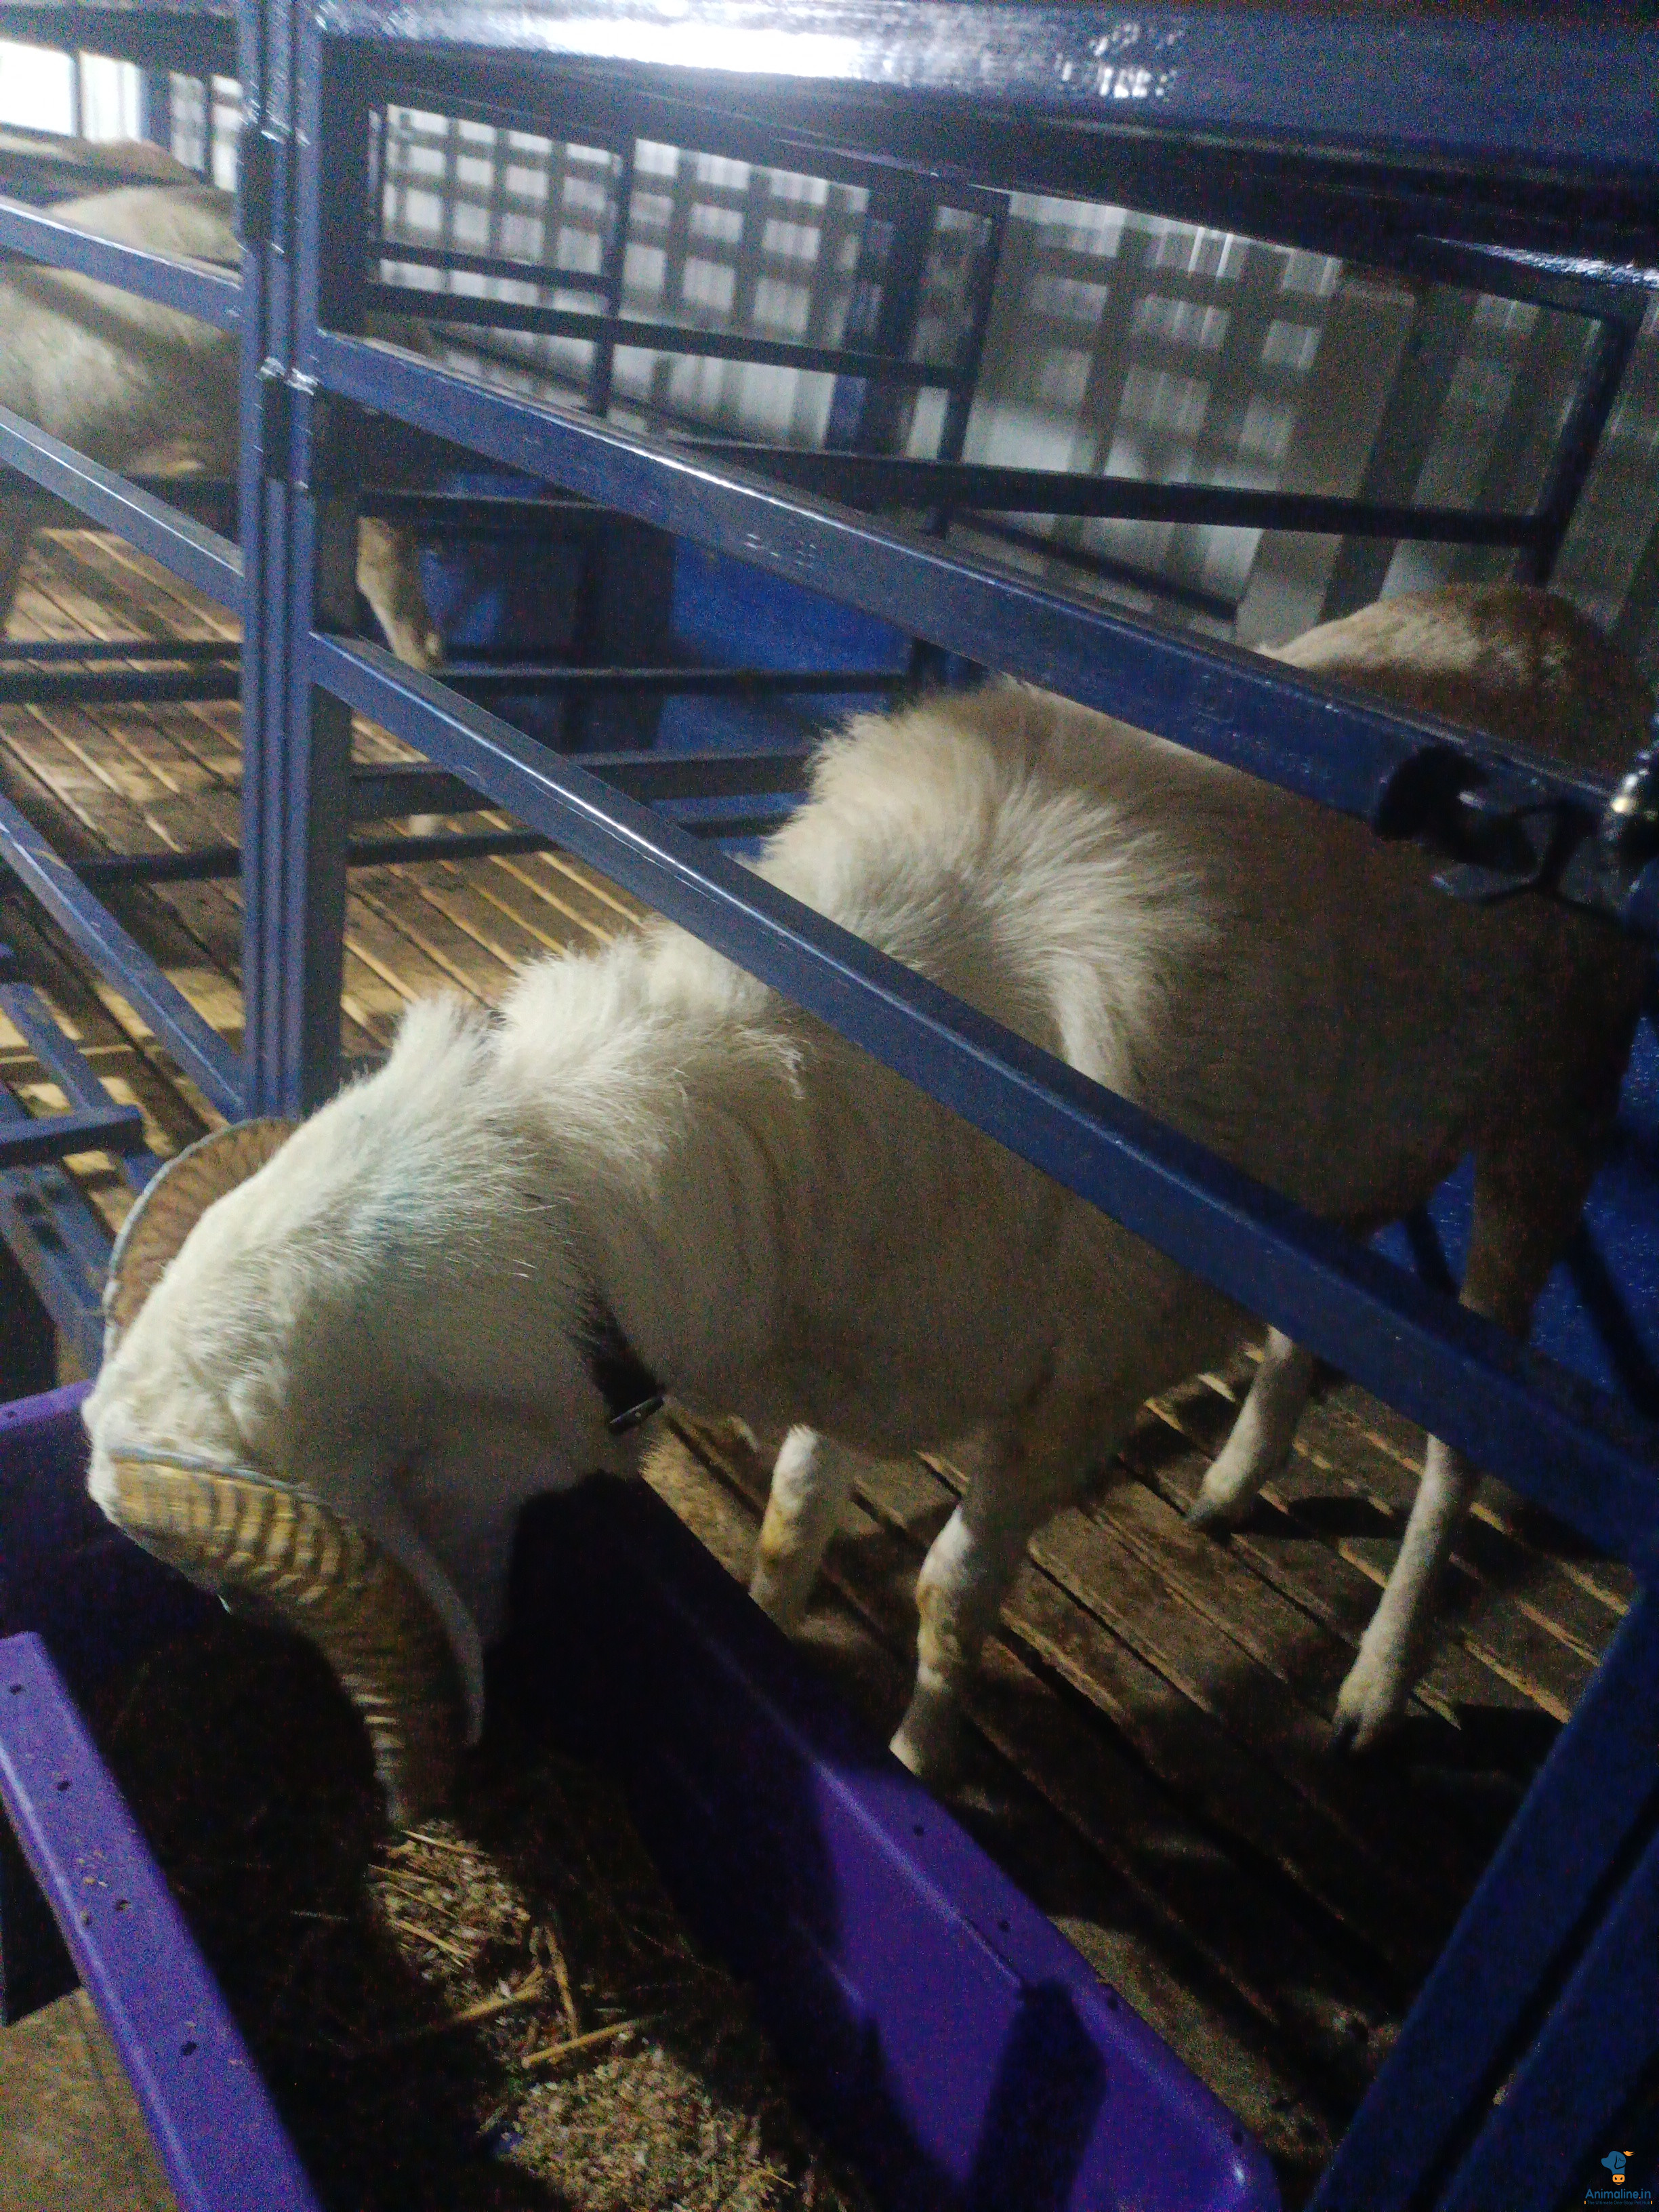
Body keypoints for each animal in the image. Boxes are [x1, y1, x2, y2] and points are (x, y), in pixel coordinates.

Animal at [80, 583, 1651, 1819]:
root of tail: (1550, 616)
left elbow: (954, 1593)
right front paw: (774, 1633)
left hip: (1556, 1109)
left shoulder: (1063, 1408)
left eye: (245, 1598)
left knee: (1462, 1432)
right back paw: (1232, 1480)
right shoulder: (849, 1344)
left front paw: (914, 1756)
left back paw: (1377, 1682)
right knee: (1313, 1319)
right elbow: (791, 1513)